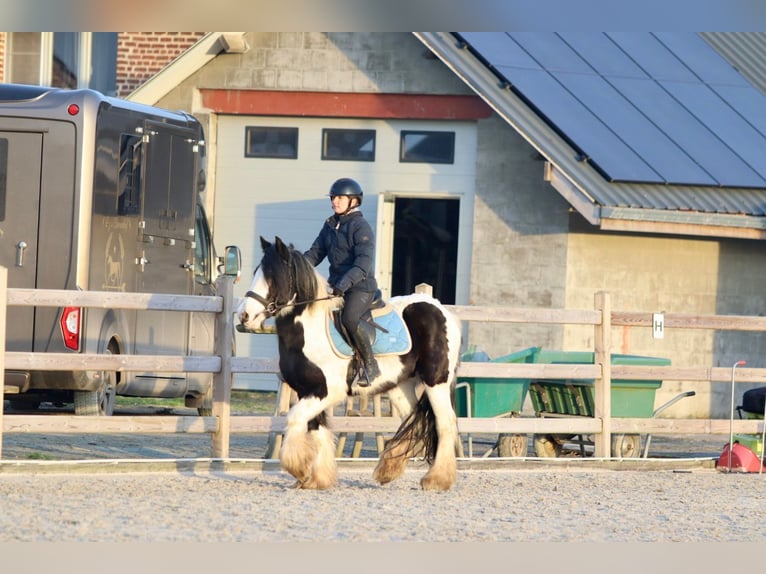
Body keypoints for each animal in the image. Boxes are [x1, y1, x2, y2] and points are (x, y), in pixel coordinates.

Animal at [236, 236, 462, 492]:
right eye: (256, 271)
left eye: (273, 276)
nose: (243, 316)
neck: (309, 332)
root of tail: (441, 309)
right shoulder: (308, 391)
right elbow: (317, 430)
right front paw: (318, 479)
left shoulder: (326, 391)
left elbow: (294, 419)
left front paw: (299, 469)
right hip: (400, 385)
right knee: (413, 421)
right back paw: (388, 471)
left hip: (436, 381)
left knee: (445, 423)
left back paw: (437, 479)